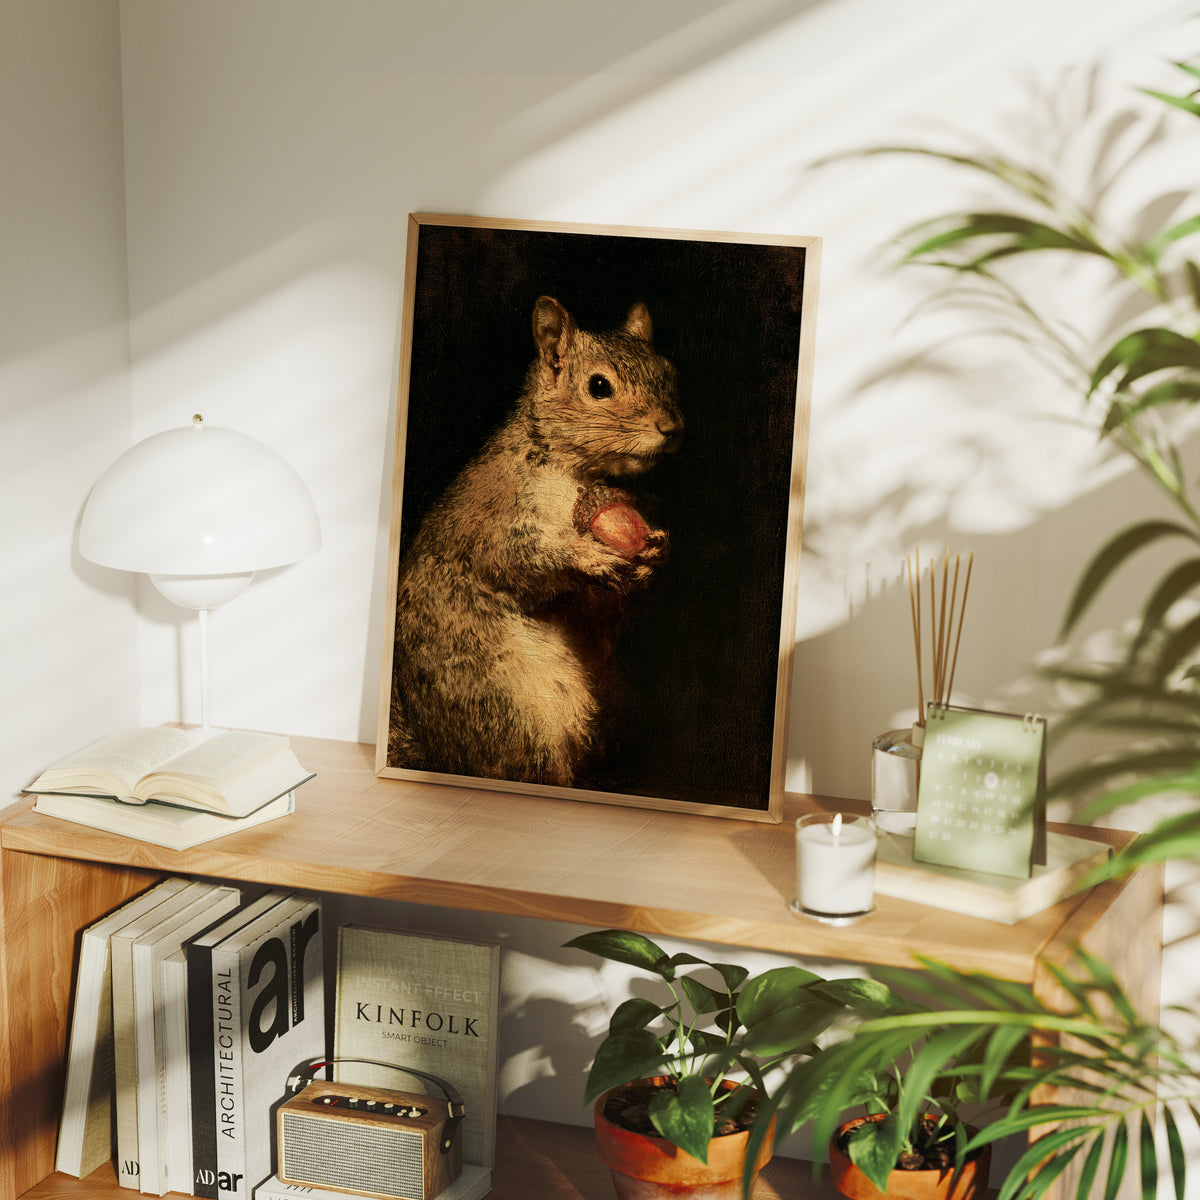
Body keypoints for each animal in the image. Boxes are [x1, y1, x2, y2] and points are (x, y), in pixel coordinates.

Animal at [388, 294, 684, 787]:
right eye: (599, 386)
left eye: (670, 372)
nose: (671, 427)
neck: (579, 471)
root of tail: (442, 749)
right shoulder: (495, 519)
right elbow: (515, 558)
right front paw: (587, 557)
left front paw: (656, 554)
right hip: (517, 706)